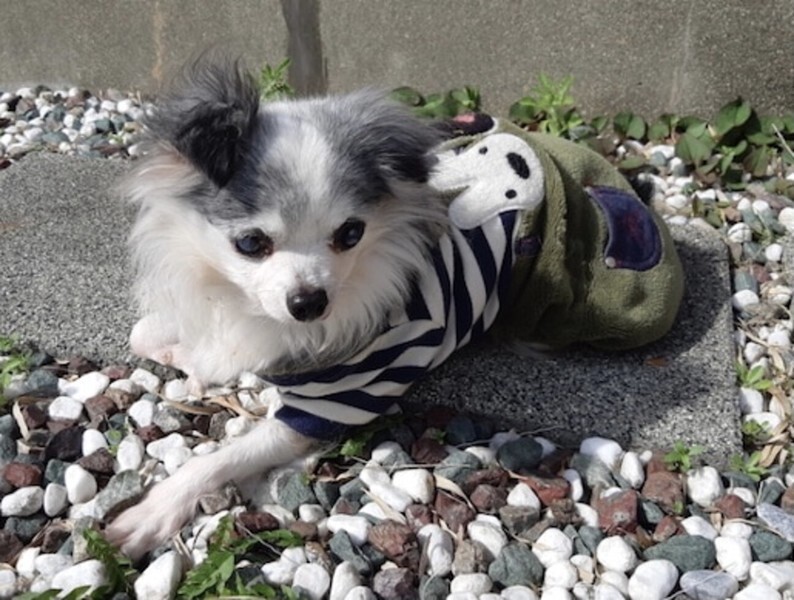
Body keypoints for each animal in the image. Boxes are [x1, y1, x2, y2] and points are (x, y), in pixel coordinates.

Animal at [106, 56, 683, 559]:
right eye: (250, 244)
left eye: (351, 234)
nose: (309, 302)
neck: (249, 309)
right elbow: (148, 336)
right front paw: (198, 364)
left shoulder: (337, 398)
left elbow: (222, 458)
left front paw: (154, 509)